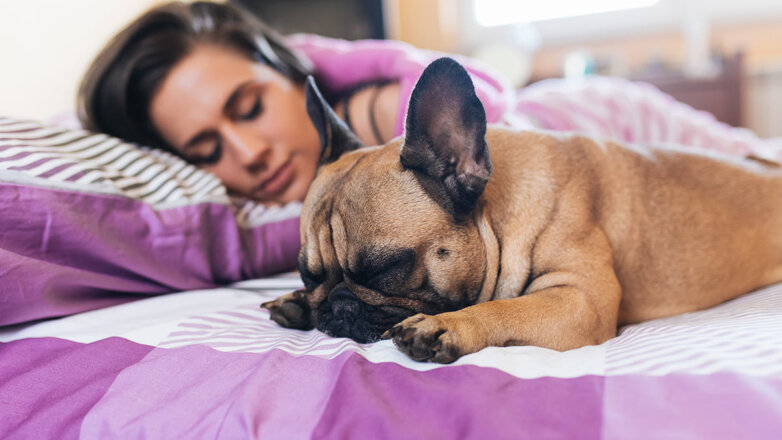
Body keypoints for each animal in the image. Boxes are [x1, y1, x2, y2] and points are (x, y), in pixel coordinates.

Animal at [264, 56, 782, 362]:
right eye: (308, 274)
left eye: (387, 269)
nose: (334, 306)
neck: (497, 217)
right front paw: (297, 302)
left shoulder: (580, 299)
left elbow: (509, 308)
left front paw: (449, 325)